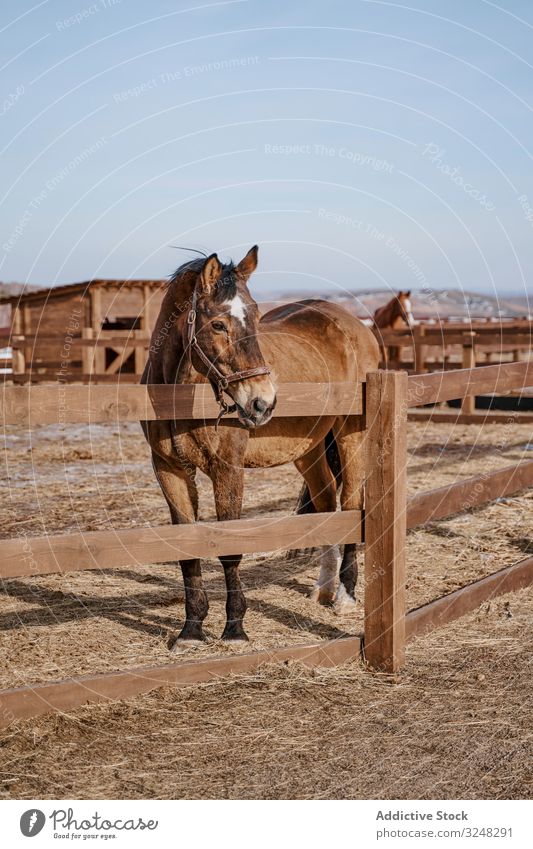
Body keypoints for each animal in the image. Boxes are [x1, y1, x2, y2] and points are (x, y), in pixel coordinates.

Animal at [139, 248, 376, 644]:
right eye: (218, 325)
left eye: (255, 317)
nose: (262, 402)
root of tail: (353, 325)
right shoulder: (169, 470)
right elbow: (187, 550)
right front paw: (191, 628)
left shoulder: (227, 470)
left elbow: (230, 550)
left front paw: (234, 627)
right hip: (308, 449)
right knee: (326, 501)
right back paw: (323, 588)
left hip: (351, 436)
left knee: (351, 505)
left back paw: (344, 595)